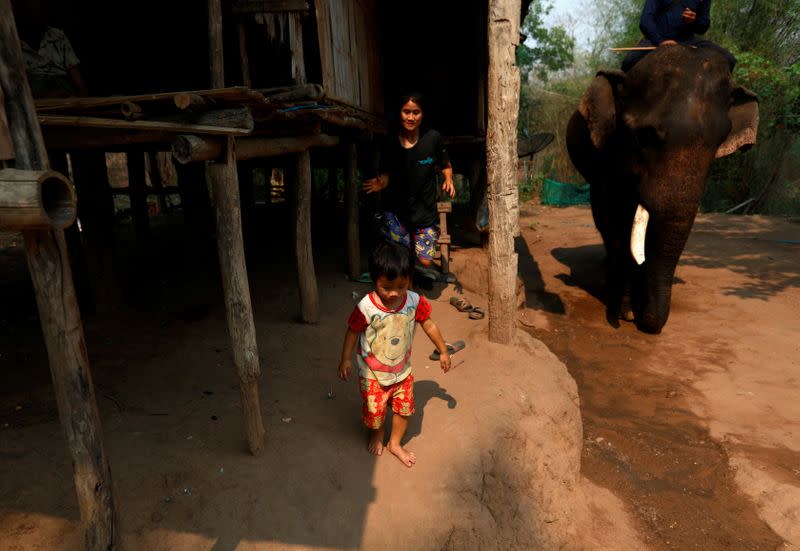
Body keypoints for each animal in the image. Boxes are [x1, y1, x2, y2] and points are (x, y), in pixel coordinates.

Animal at [564, 44, 760, 332]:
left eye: (720, 141)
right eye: (644, 136)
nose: (647, 320)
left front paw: (633, 307)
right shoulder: (606, 158)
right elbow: (615, 219)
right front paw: (626, 311)